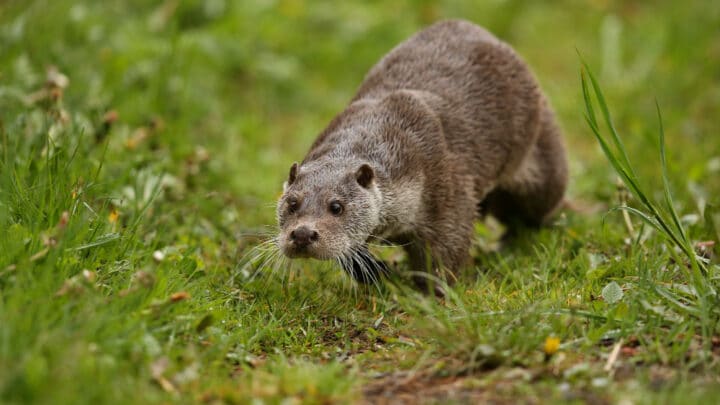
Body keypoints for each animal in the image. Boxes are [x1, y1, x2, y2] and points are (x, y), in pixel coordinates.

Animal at [276, 19, 568, 288]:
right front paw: (378, 273)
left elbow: (447, 249)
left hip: (542, 165)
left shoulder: (445, 187)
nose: (302, 234)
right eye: (292, 203)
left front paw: (430, 294)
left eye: (336, 206)